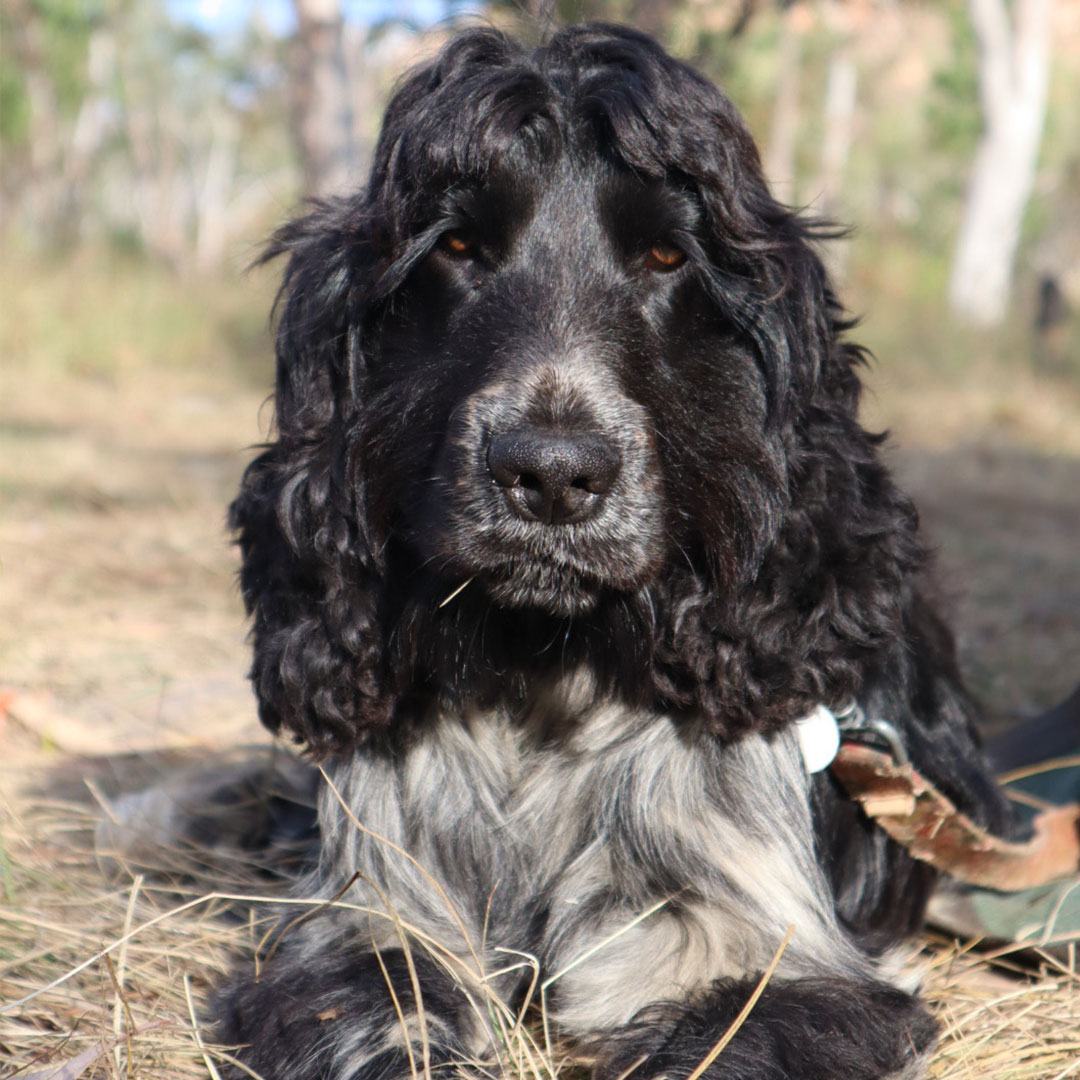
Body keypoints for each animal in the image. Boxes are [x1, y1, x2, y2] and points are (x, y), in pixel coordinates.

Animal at [217, 25, 1010, 1080]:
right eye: (456, 246)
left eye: (667, 253)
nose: (551, 475)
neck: (548, 671)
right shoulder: (367, 915)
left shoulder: (767, 959)